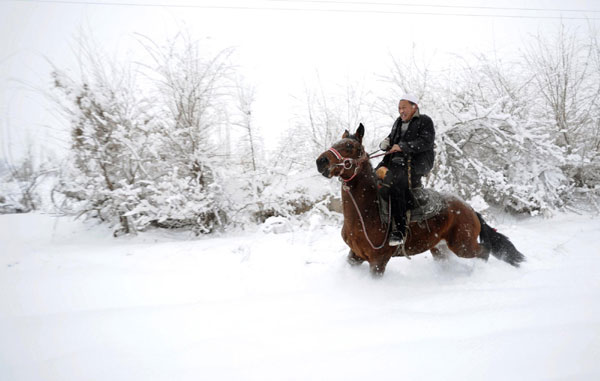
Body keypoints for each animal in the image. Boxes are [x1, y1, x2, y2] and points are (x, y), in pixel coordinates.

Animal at [314, 124, 524, 276]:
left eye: (349, 146)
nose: (321, 161)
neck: (368, 211)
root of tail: (470, 209)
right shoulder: (355, 256)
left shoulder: (378, 261)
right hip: (440, 249)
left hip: (463, 246)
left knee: (484, 252)